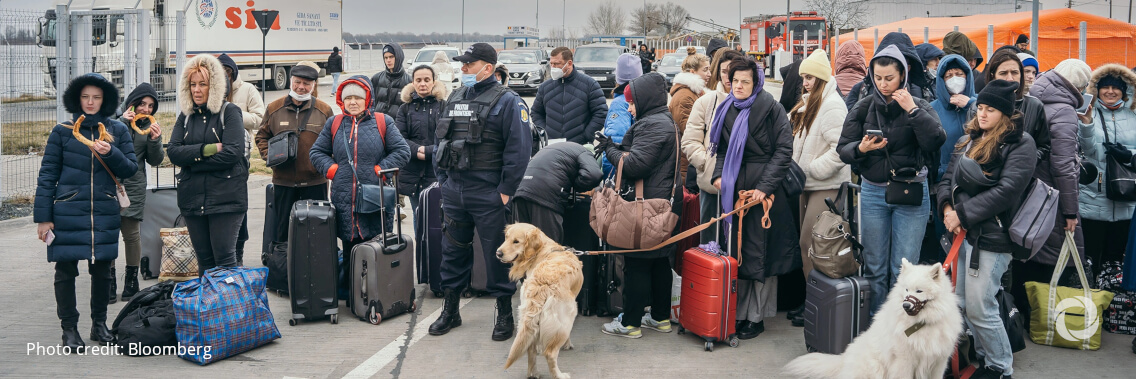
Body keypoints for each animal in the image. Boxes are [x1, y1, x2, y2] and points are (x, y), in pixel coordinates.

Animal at [786, 257, 963, 379]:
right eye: (906, 289)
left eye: (919, 291)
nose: (905, 305)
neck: (921, 323)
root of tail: (843, 359)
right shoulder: (905, 361)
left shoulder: (938, 362)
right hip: (874, 367)